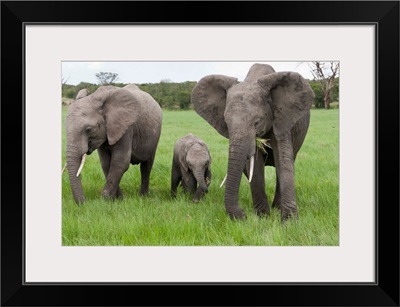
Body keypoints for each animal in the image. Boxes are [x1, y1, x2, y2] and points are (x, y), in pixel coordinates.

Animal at [191, 63, 316, 221]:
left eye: (257, 122)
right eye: (226, 123)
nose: (243, 214)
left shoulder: (281, 120)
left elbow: (283, 162)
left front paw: (289, 222)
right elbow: (255, 166)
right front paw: (263, 217)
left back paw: (277, 207)